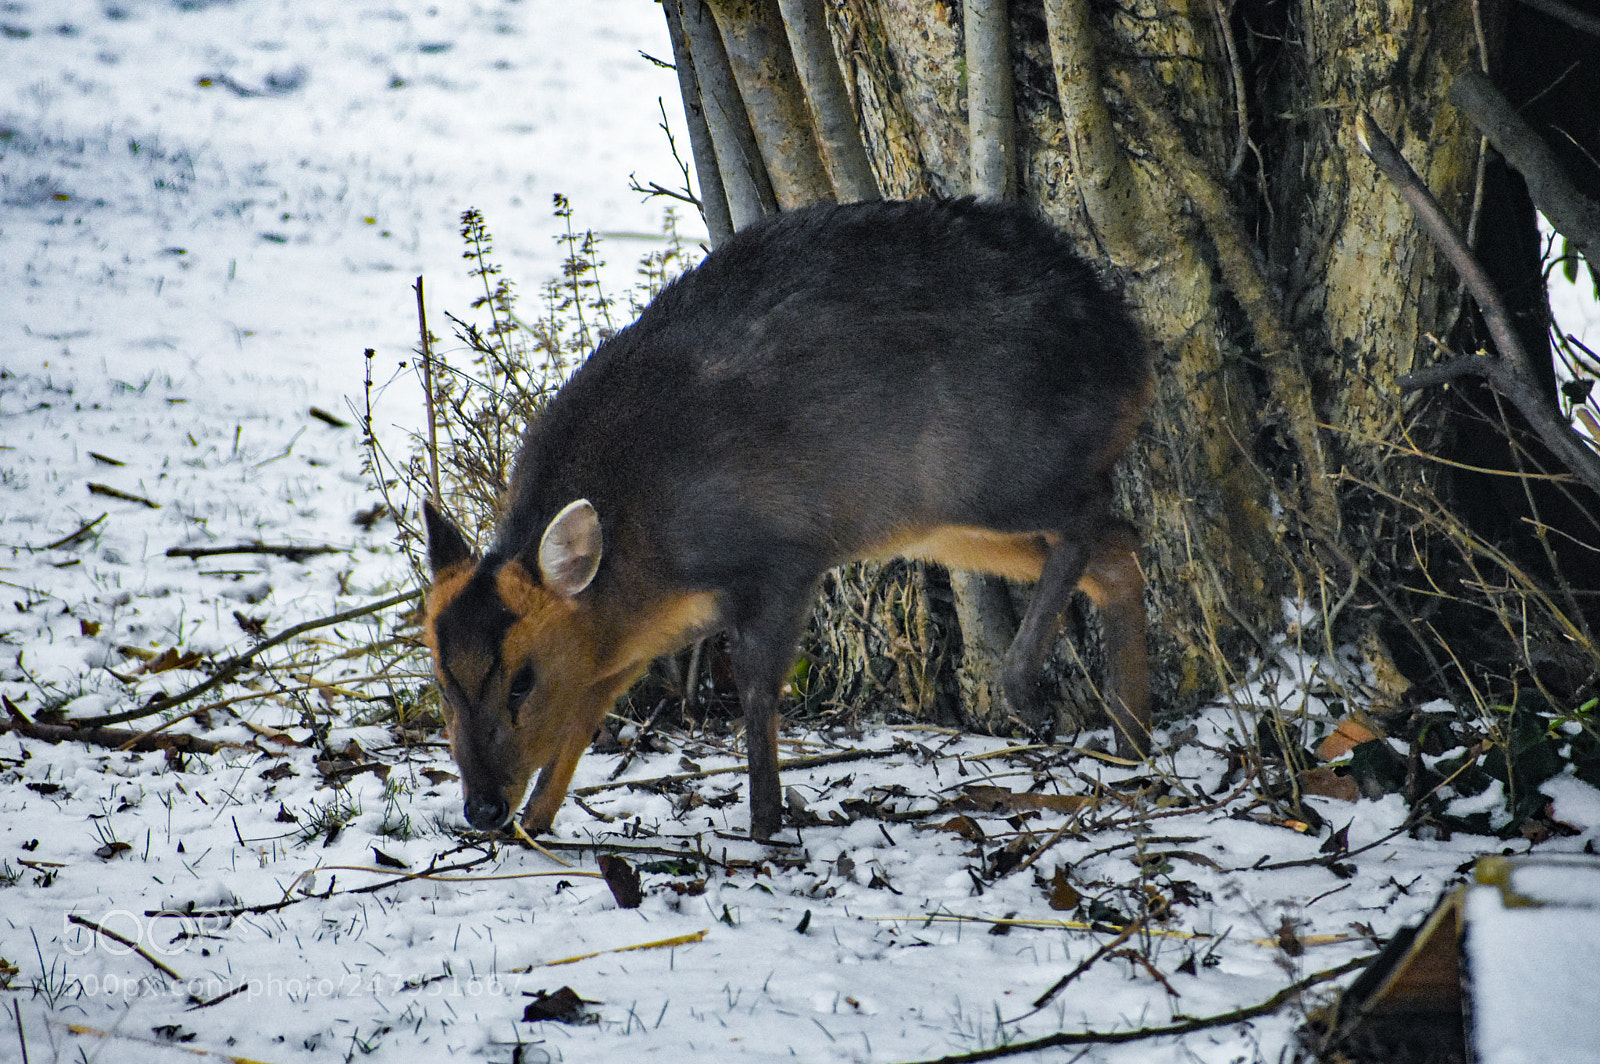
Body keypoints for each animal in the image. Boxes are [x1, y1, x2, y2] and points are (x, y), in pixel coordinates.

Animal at [422, 196, 1151, 841]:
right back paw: (1132, 739)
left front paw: (765, 823)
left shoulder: (781, 557)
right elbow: (585, 713)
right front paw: (539, 821)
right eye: (442, 681)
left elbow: (756, 687)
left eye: (522, 681)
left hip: (1000, 473)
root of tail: (1132, 353)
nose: (483, 809)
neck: (646, 559)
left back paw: (1029, 689)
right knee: (1116, 554)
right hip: (947, 524)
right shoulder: (634, 636)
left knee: (1099, 519)